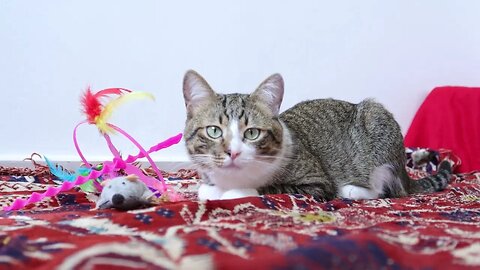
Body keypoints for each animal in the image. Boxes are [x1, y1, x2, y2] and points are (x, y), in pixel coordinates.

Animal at [182, 69, 452, 200]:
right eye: (214, 131)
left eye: (252, 133)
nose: (233, 152)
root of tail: (406, 174)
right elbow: (205, 188)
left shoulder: (317, 182)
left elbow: (273, 187)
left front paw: (236, 192)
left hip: (375, 120)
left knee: (387, 189)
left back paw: (354, 190)